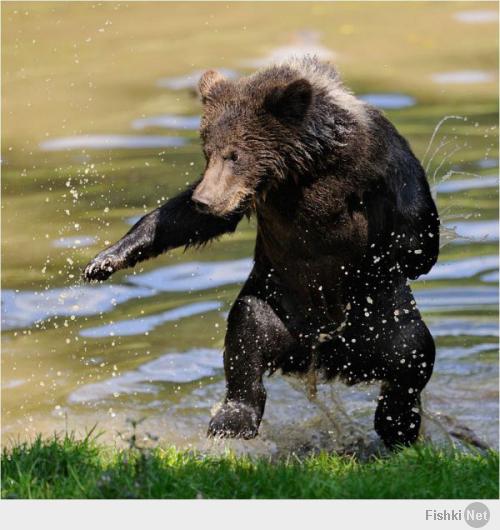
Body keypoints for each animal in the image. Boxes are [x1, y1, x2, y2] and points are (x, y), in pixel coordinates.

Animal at [84, 56, 440, 446]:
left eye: (234, 155)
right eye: (207, 152)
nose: (204, 200)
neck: (302, 170)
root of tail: (326, 355)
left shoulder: (372, 154)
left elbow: (410, 200)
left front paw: (413, 252)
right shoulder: (253, 197)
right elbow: (179, 220)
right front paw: (105, 260)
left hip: (379, 316)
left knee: (412, 352)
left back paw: (397, 423)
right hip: (280, 303)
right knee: (247, 333)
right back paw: (234, 418)